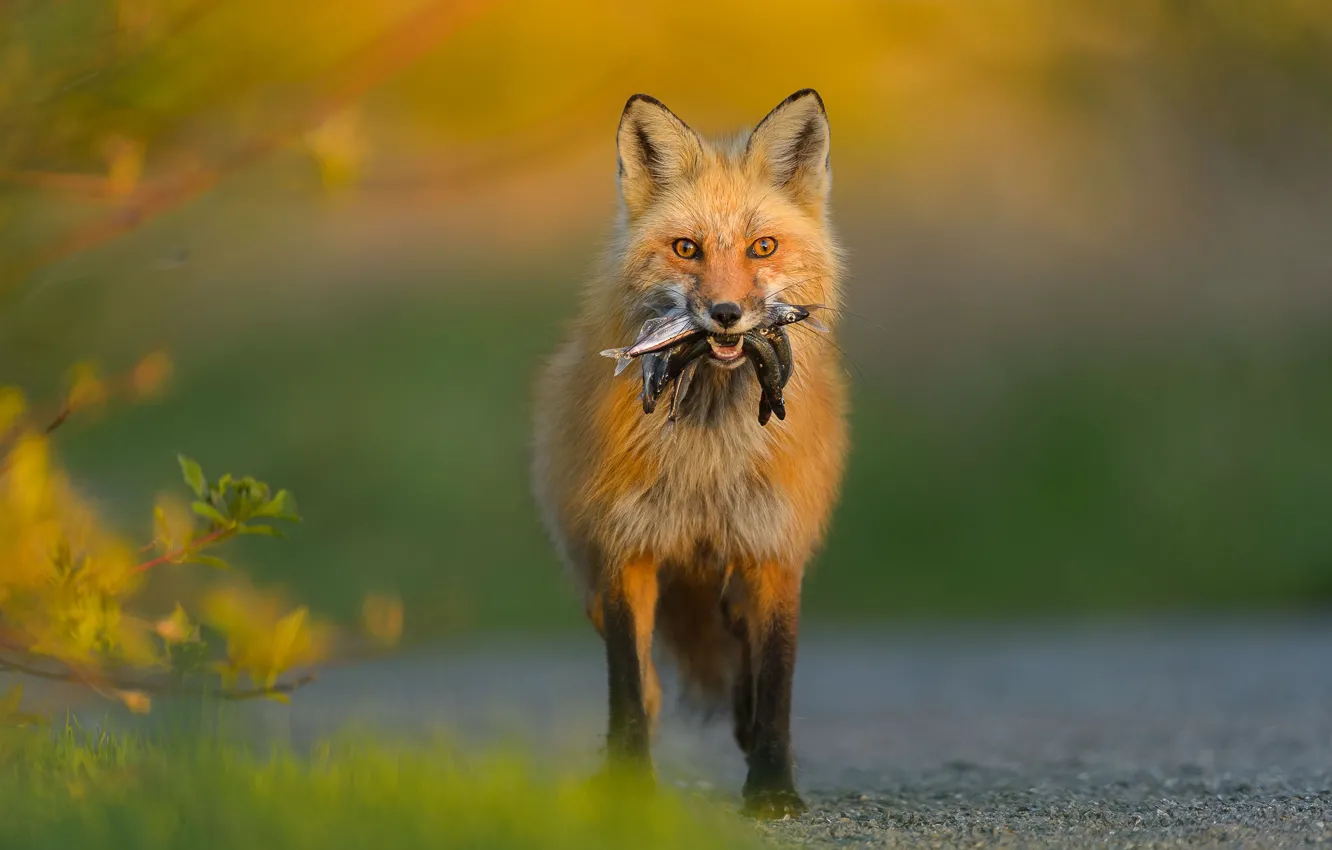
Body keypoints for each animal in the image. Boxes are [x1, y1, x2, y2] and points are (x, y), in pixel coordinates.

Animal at [530, 89, 848, 818]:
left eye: (763, 247)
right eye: (686, 248)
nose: (727, 315)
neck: (708, 451)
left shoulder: (774, 552)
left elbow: (777, 683)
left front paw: (773, 790)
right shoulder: (625, 552)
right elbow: (628, 692)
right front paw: (628, 789)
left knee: (743, 672)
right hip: (594, 584)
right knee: (647, 686)